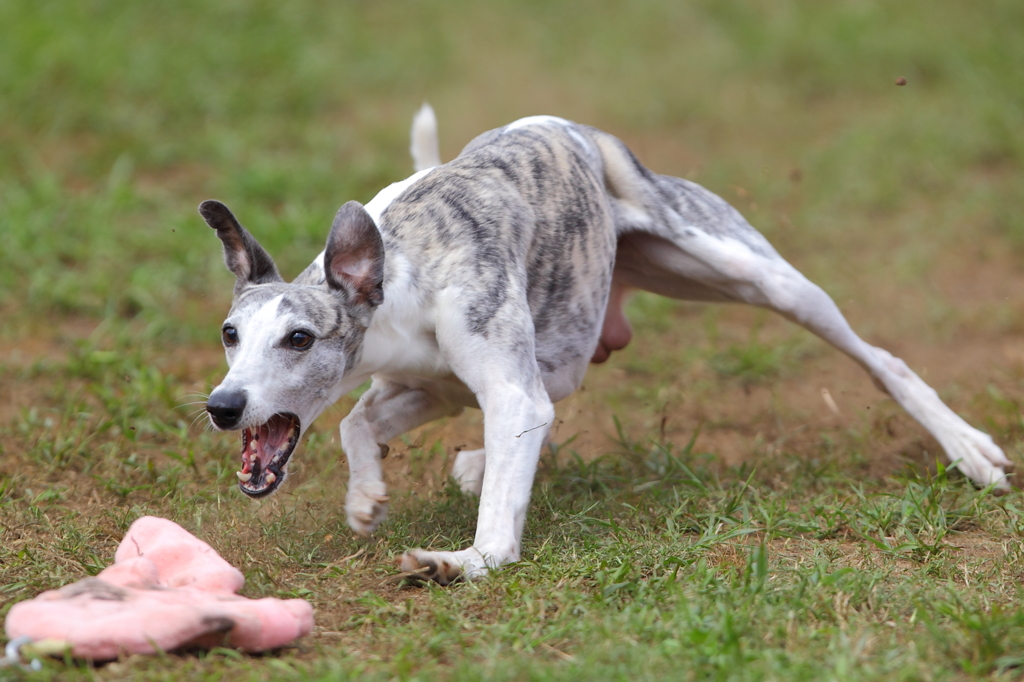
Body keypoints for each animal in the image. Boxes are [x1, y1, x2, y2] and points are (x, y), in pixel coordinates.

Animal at [199, 103, 1007, 581]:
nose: (222, 406)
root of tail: (578, 130)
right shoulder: (433, 386)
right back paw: (477, 461)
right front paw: (367, 497)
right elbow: (358, 423)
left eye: (300, 338)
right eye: (230, 334)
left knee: (881, 359)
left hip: (753, 275)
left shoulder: (507, 387)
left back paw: (969, 449)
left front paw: (462, 561)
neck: (395, 274)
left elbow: (495, 531)